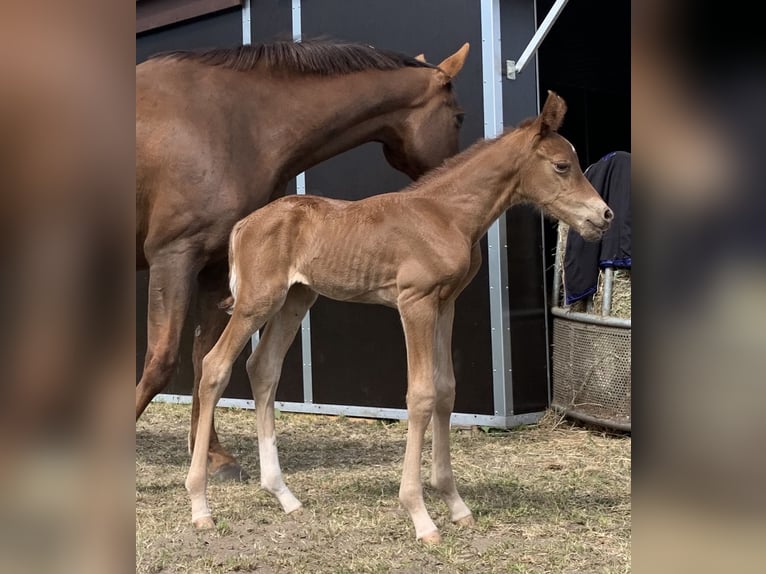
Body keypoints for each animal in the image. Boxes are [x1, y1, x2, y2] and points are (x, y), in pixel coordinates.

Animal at [136, 39, 470, 480]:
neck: (232, 121)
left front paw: (214, 456)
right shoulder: (173, 257)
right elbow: (161, 361)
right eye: (459, 117)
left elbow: (204, 358)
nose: (451, 181)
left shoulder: (213, 267)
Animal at [184, 91, 613, 543]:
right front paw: (421, 516)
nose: (603, 216)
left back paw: (285, 496)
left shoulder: (446, 303)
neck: (446, 215)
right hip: (257, 301)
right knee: (214, 366)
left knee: (263, 368)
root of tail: (242, 226)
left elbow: (446, 390)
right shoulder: (415, 302)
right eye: (562, 165)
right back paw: (200, 505)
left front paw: (456, 504)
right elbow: (421, 394)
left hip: (295, 299)